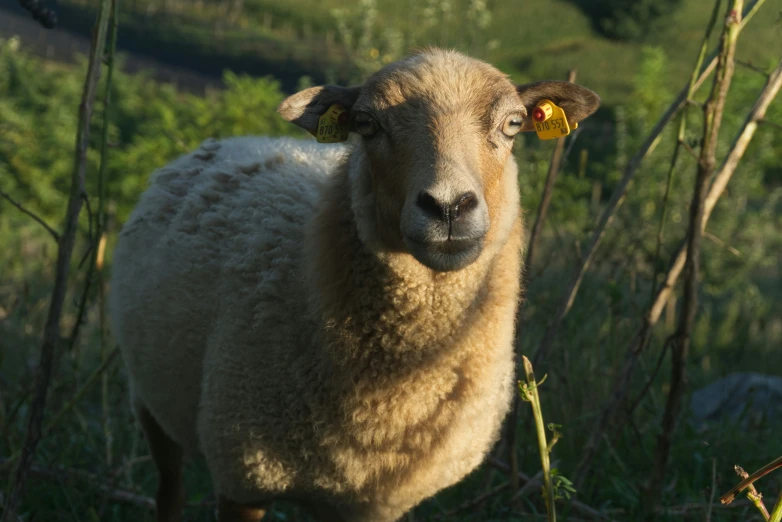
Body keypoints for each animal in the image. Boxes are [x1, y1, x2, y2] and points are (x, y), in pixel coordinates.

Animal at [108, 48, 600, 520]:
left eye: (513, 124)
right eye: (366, 125)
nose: (448, 208)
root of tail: (223, 143)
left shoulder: (373, 502)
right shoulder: (242, 475)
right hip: (149, 401)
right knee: (169, 491)